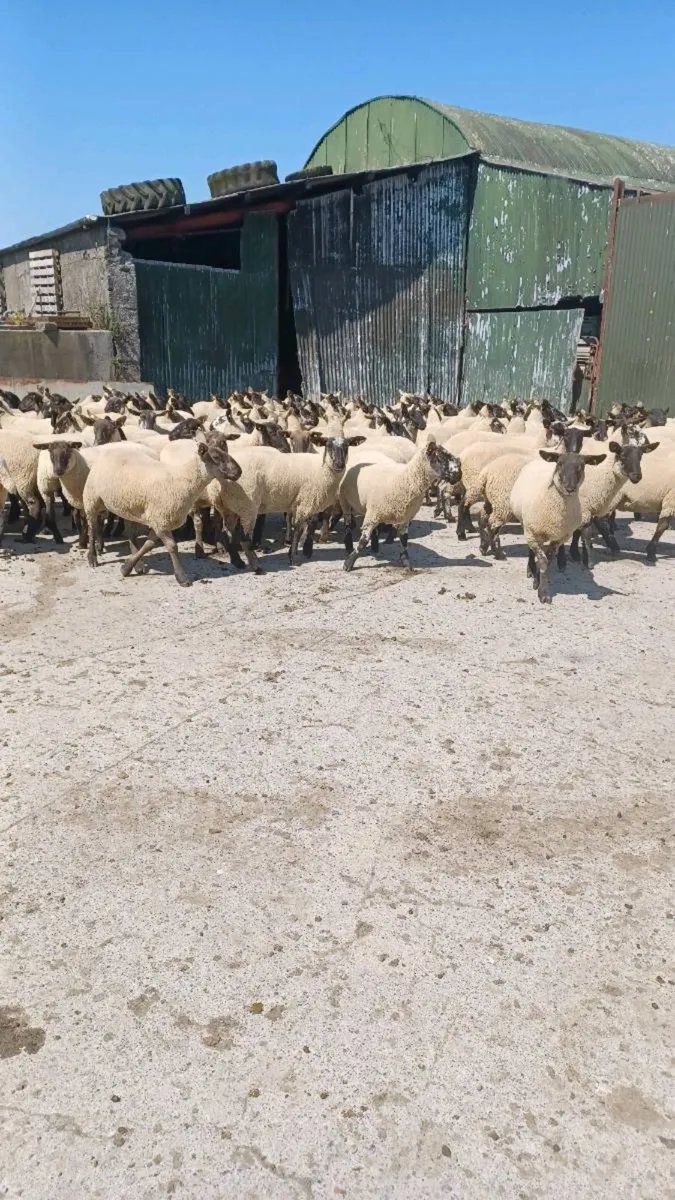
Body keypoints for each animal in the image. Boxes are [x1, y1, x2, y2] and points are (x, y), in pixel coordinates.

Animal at [83, 435, 242, 586]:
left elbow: (149, 545)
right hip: (92, 499)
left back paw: (137, 564)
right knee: (92, 527)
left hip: (129, 505)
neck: (183, 480)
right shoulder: (161, 519)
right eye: (216, 457)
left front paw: (126, 567)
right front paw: (182, 578)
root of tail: (111, 449)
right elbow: (172, 546)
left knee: (131, 533)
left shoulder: (160, 520)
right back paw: (92, 557)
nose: (239, 472)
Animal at [339, 437, 462, 571]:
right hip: (344, 500)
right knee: (347, 522)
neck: (405, 479)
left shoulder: (404, 517)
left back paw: (375, 545)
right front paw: (348, 563)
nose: (459, 474)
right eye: (440, 457)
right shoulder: (372, 515)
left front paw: (406, 563)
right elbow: (363, 541)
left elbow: (404, 540)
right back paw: (349, 544)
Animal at [510, 448, 606, 603]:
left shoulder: (559, 538)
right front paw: (542, 592)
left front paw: (539, 582)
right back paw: (530, 569)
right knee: (530, 550)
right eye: (559, 463)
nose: (570, 488)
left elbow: (548, 560)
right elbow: (543, 560)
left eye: (582, 465)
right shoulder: (533, 533)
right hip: (527, 525)